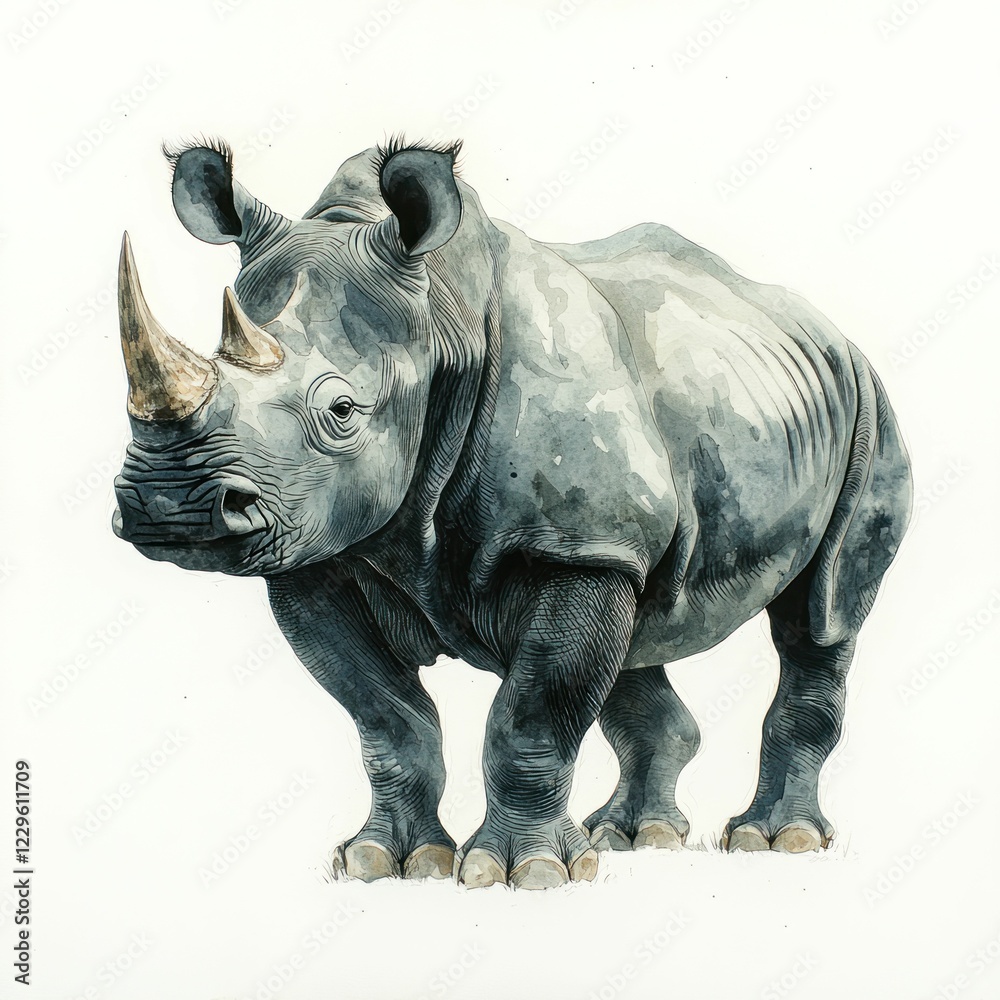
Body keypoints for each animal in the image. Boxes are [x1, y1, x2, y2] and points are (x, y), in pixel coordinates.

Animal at [113, 137, 912, 889]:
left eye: (341, 411)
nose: (167, 504)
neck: (440, 322)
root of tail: (826, 328)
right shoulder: (320, 552)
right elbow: (387, 719)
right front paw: (385, 860)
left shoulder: (572, 544)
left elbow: (532, 717)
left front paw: (524, 873)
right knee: (641, 633)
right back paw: (632, 837)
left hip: (867, 410)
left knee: (821, 616)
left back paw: (774, 840)